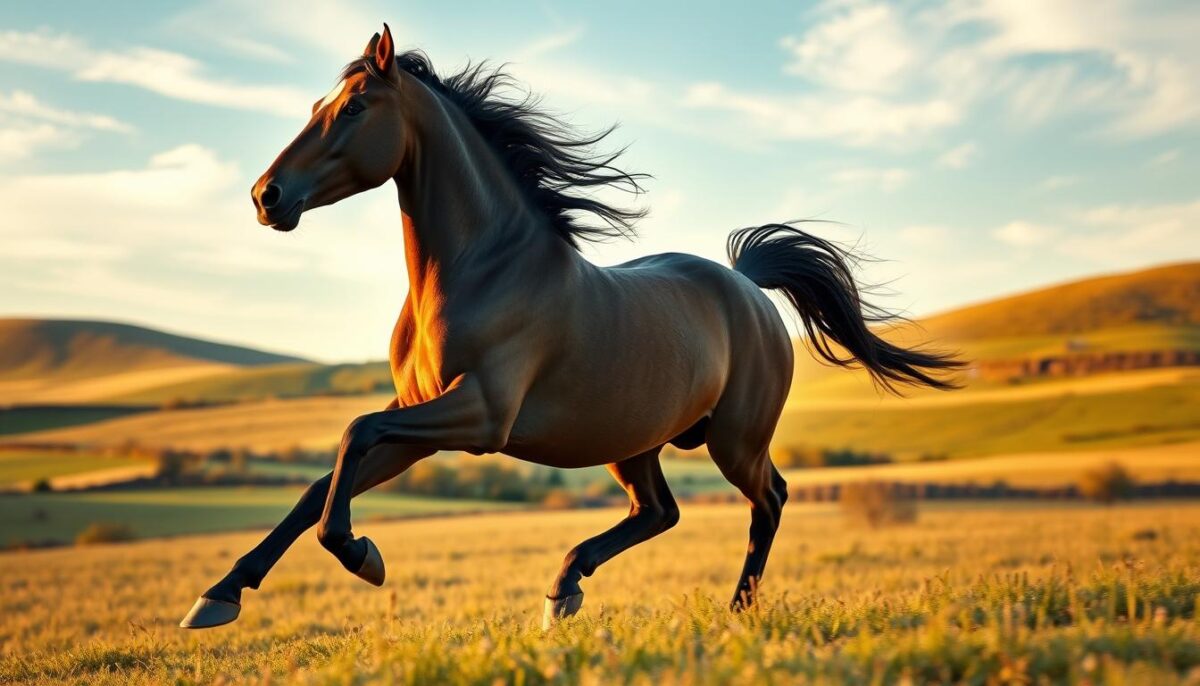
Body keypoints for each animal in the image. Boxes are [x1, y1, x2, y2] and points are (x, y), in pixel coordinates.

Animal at [180, 24, 961, 630]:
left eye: (353, 107)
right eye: (319, 104)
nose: (266, 197)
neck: (483, 268)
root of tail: (746, 283)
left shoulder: (479, 416)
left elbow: (350, 435)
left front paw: (362, 556)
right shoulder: (419, 419)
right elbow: (325, 480)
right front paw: (219, 595)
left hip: (736, 440)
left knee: (768, 499)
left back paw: (734, 611)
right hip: (631, 440)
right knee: (660, 512)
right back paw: (565, 587)